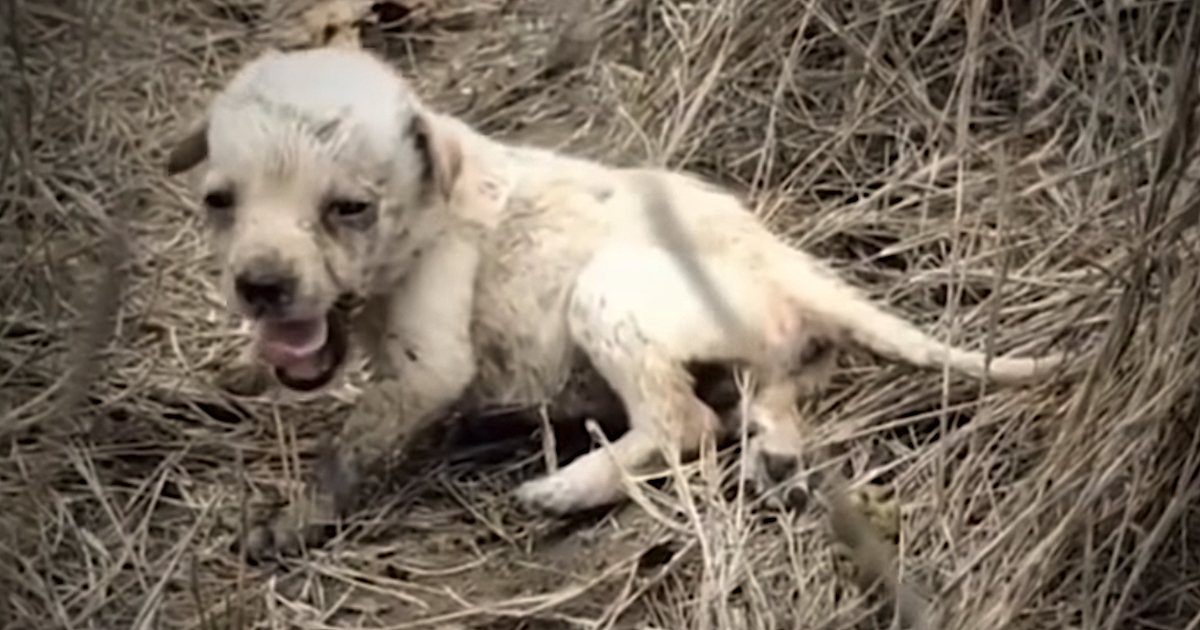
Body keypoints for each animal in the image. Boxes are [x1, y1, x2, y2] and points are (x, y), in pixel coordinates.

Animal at [166, 46, 1070, 556]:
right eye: (218, 202)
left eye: (349, 208)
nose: (260, 286)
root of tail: (788, 263)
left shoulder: (429, 363)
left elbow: (348, 447)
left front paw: (289, 523)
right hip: (766, 354)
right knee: (763, 402)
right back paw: (774, 464)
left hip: (608, 295)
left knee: (683, 424)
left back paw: (568, 488)